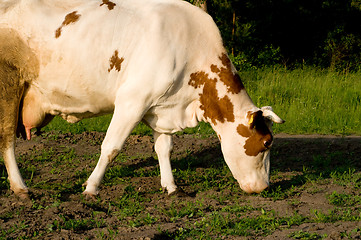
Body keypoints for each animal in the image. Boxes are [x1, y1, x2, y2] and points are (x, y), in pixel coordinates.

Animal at [0, 0, 284, 199]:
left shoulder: (161, 105)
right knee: (7, 139)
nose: (265, 187)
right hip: (9, 85)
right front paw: (91, 188)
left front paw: (172, 187)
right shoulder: (132, 100)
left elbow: (164, 148)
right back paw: (21, 188)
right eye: (267, 142)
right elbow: (111, 147)